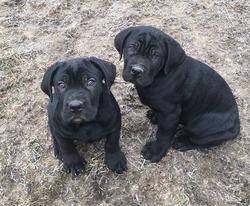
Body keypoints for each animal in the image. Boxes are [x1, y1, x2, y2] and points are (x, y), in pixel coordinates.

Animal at [115, 25, 240, 163]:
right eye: (132, 47)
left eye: (156, 55)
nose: (137, 71)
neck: (157, 78)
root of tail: (237, 124)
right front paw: (154, 115)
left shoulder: (171, 114)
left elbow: (163, 135)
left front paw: (155, 151)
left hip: (198, 125)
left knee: (204, 141)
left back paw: (182, 142)